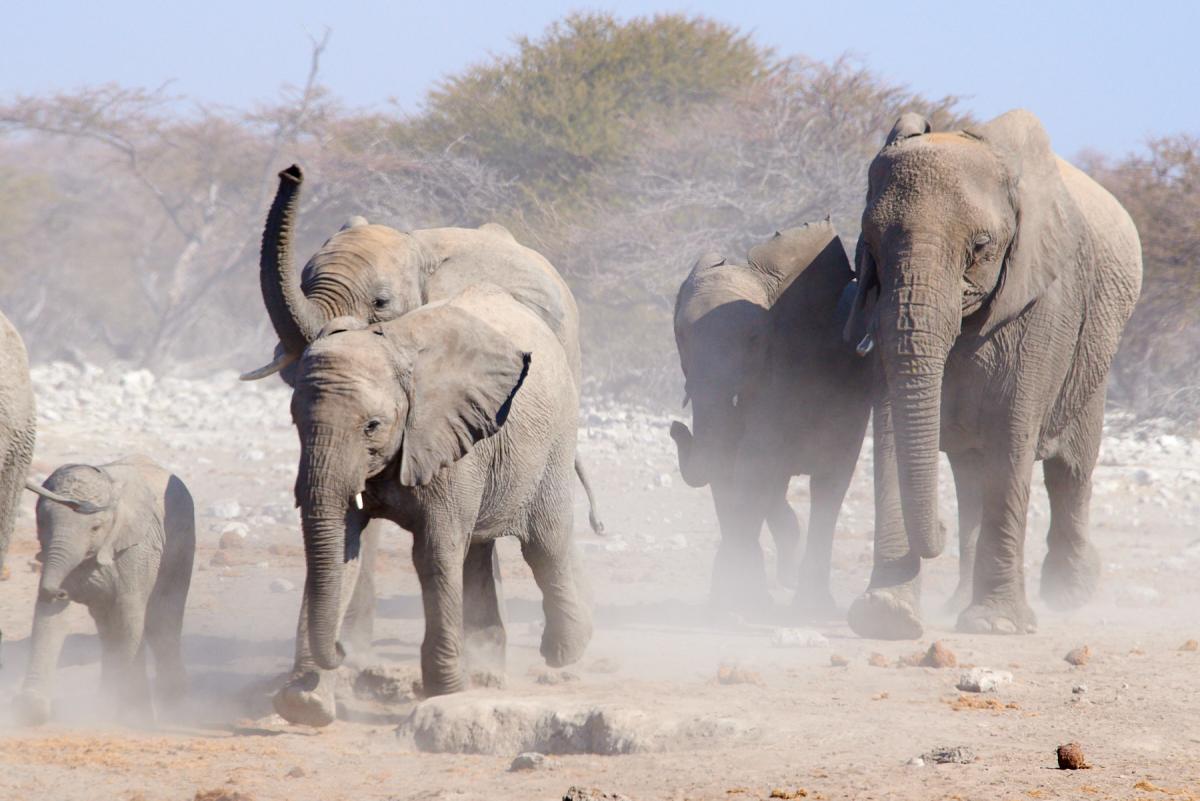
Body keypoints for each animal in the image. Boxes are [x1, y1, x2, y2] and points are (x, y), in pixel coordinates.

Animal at [15, 456, 195, 725]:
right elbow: (51, 617)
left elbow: (129, 616)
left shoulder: (136, 552)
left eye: (95, 528)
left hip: (181, 543)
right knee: (108, 625)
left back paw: (174, 707)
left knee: (163, 618)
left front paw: (133, 717)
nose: (61, 592)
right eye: (42, 523)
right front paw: (30, 711)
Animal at [247, 166, 602, 721]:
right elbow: (340, 542)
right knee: (480, 544)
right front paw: (306, 700)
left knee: (544, 540)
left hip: (558, 413)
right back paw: (482, 662)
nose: (292, 170)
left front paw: (445, 690)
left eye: (381, 303)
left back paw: (555, 654)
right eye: (294, 423)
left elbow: (435, 551)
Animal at [669, 222, 872, 615]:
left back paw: (813, 605)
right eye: (681, 336)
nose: (676, 428)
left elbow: (752, 464)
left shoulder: (787, 372)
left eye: (753, 338)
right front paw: (734, 598)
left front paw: (741, 600)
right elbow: (730, 467)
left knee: (828, 485)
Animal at [843, 109, 1142, 639]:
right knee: (970, 476)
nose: (935, 533)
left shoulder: (1046, 304)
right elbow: (892, 428)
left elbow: (1012, 432)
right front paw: (886, 617)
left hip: (1094, 358)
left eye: (981, 246)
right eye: (870, 244)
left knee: (1070, 470)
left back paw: (1070, 593)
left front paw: (995, 625)